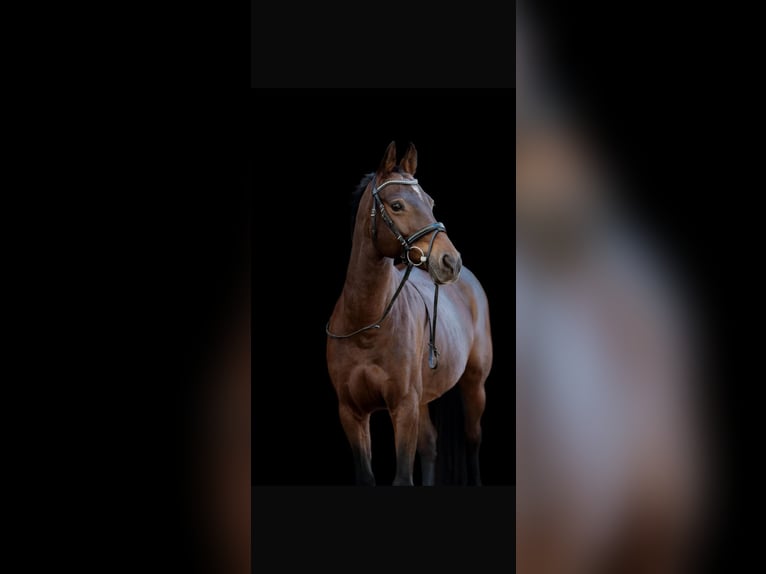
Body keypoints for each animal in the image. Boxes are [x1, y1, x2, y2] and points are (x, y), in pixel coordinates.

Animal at [325, 141, 493, 486]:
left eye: (430, 201)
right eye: (397, 205)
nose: (450, 261)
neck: (367, 326)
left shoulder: (403, 408)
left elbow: (403, 477)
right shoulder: (351, 412)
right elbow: (367, 476)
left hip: (474, 385)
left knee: (472, 440)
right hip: (424, 399)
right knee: (429, 445)